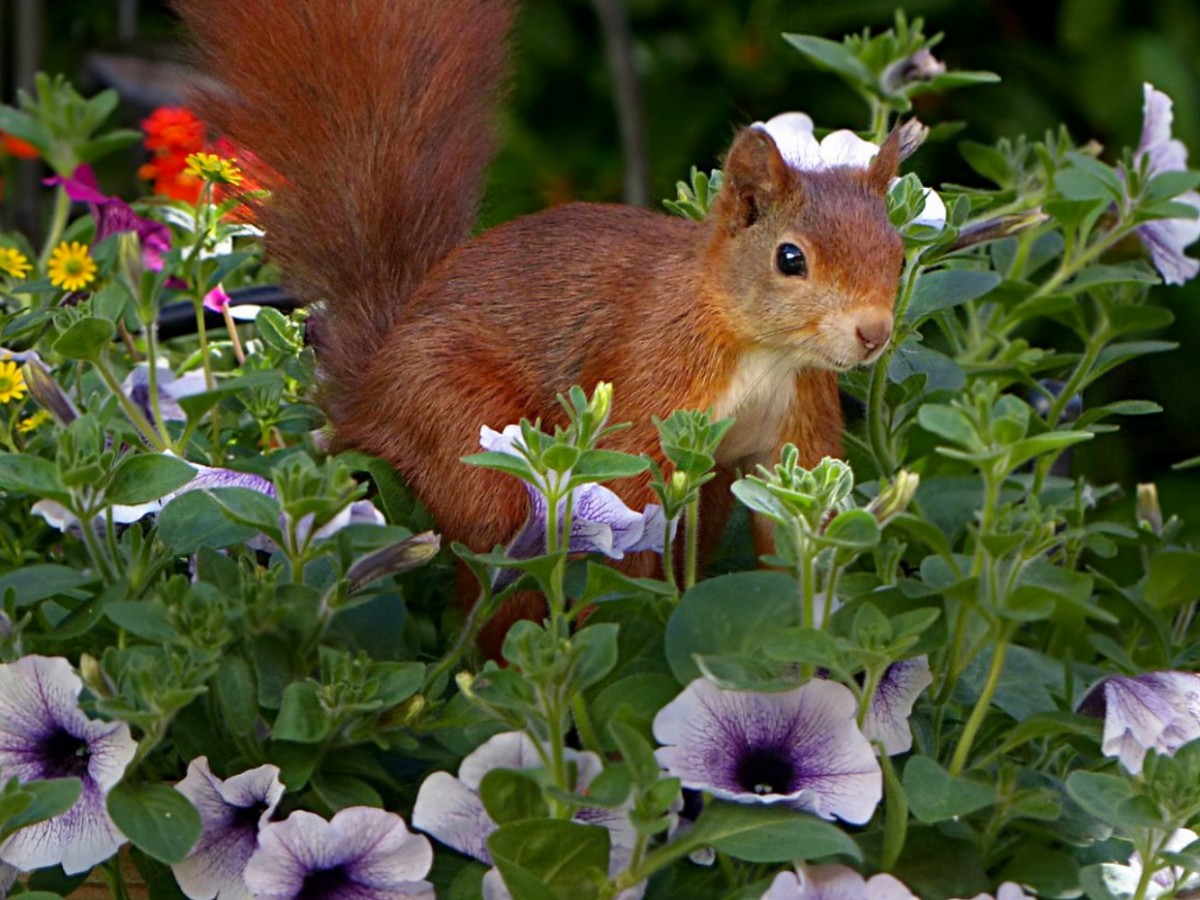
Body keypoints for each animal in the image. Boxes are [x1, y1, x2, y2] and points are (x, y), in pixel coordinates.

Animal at [169, 1, 902, 628]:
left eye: (896, 250)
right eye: (789, 258)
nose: (873, 333)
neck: (759, 350)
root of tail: (368, 393)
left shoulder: (796, 424)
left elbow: (797, 529)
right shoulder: (652, 383)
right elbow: (628, 506)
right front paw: (615, 617)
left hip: (709, 484)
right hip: (459, 427)